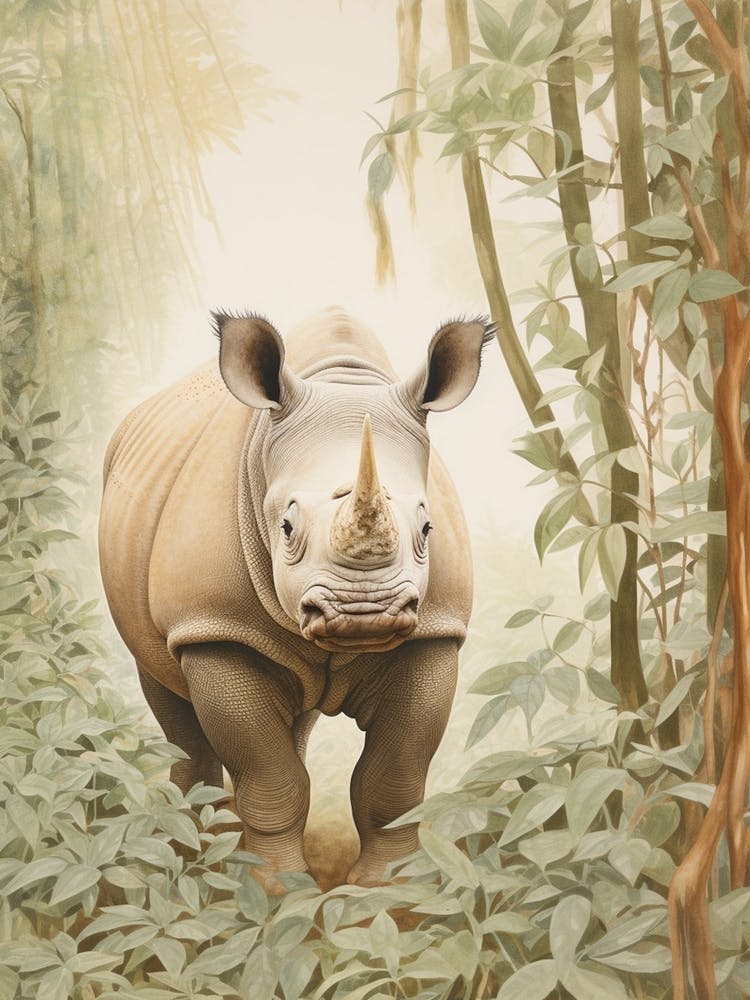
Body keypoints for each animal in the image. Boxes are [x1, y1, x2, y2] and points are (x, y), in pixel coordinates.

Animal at [99, 307, 490, 886]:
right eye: (285, 526)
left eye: (427, 527)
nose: (365, 614)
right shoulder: (214, 629)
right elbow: (270, 777)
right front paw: (278, 889)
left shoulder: (434, 632)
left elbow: (394, 780)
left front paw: (387, 889)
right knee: (167, 692)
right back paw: (193, 857)